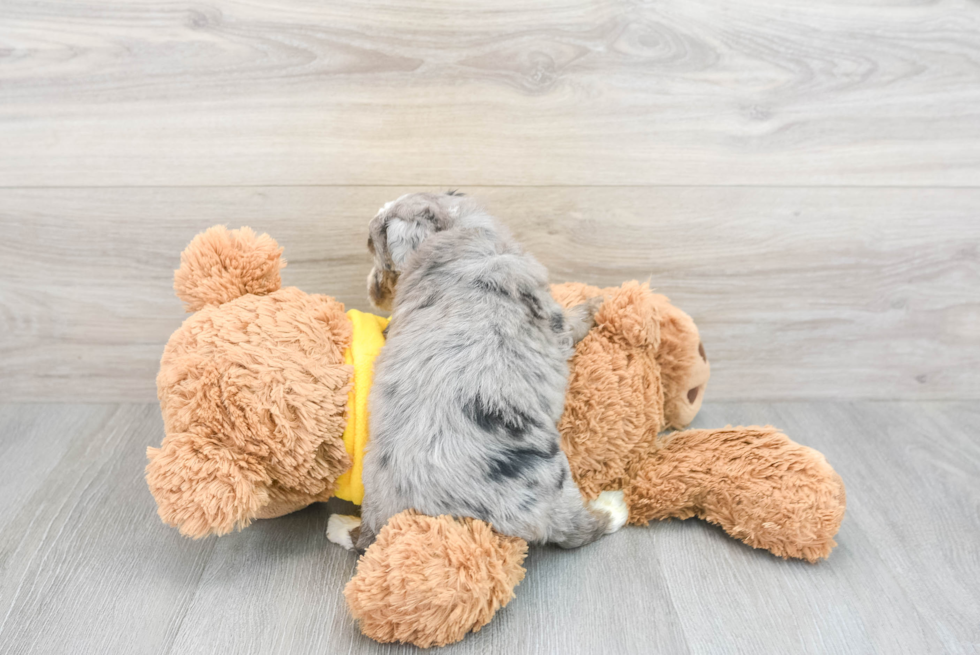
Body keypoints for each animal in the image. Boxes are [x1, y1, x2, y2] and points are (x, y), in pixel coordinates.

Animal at [326, 193, 624, 552]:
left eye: (374, 247)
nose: (372, 292)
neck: (455, 229)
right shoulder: (555, 321)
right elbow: (574, 319)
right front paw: (597, 302)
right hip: (550, 482)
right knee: (578, 530)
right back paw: (612, 506)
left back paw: (341, 525)